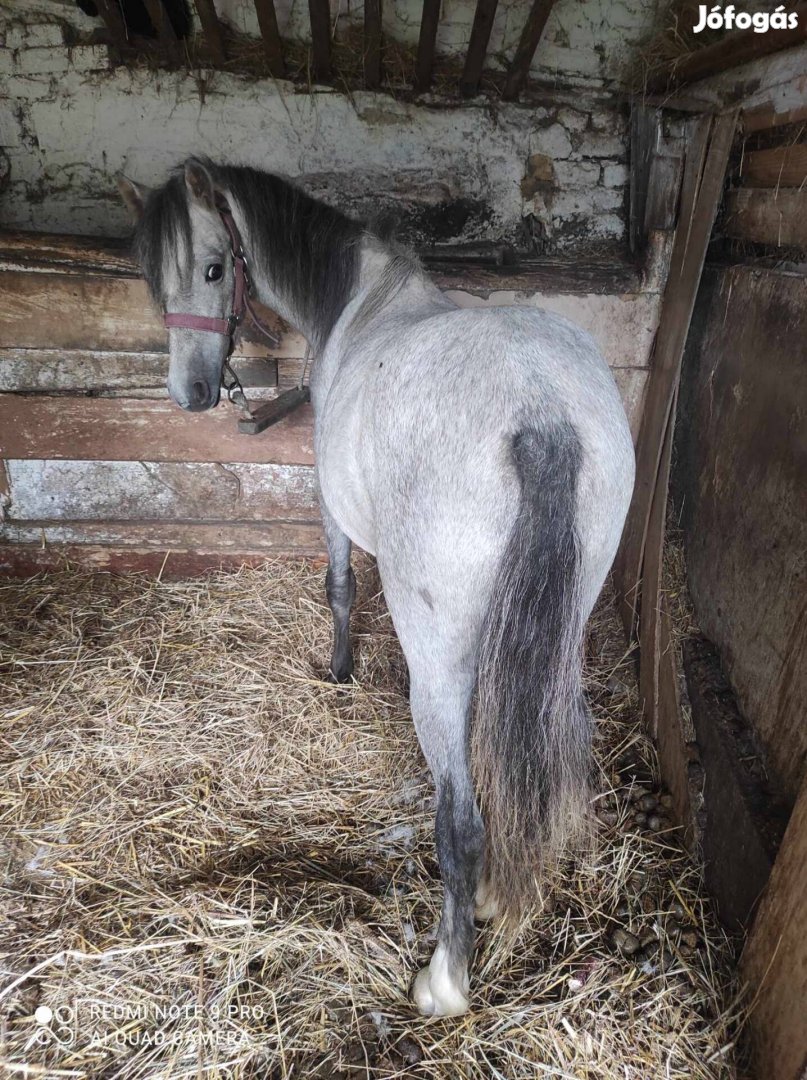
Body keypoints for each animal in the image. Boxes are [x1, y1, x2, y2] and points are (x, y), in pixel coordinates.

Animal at [119, 157, 639, 1010]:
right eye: (153, 280)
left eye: (214, 268)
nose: (190, 393)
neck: (360, 297)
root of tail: (539, 413)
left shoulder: (329, 506)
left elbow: (337, 585)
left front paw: (337, 670)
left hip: (438, 661)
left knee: (459, 816)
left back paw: (445, 979)